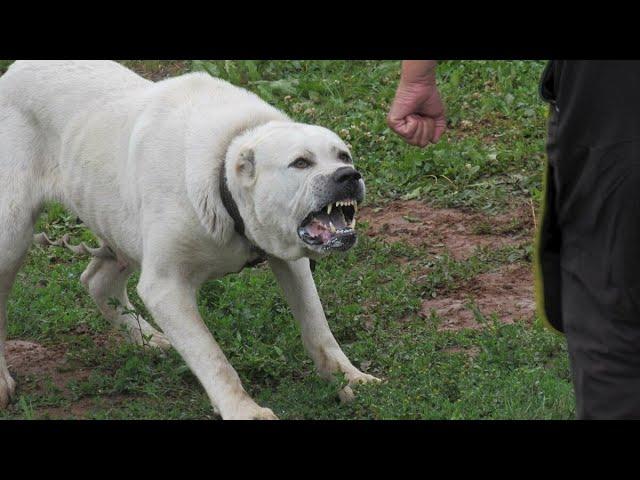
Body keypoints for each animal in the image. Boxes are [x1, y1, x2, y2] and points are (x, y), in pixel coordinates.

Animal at [0, 61, 380, 420]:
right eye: (300, 163)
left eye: (343, 156)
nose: (349, 175)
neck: (224, 181)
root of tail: (14, 71)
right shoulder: (166, 286)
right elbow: (212, 357)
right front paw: (243, 409)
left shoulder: (291, 261)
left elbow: (318, 328)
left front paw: (350, 378)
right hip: (12, 236)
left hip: (119, 226)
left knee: (97, 281)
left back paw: (148, 339)